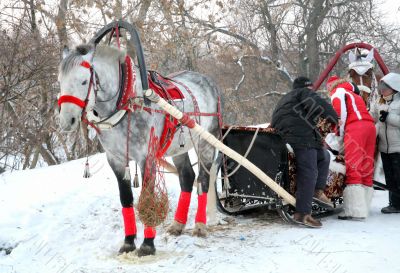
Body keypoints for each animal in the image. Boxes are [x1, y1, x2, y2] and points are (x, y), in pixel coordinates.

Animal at [58, 44, 222, 255]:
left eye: (84, 81)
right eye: (60, 81)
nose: (66, 121)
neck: (126, 104)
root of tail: (209, 82)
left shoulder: (147, 157)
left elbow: (147, 197)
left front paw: (147, 244)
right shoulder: (116, 160)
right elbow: (126, 198)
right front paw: (128, 242)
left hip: (206, 143)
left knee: (203, 180)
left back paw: (200, 226)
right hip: (178, 148)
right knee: (187, 177)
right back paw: (178, 224)